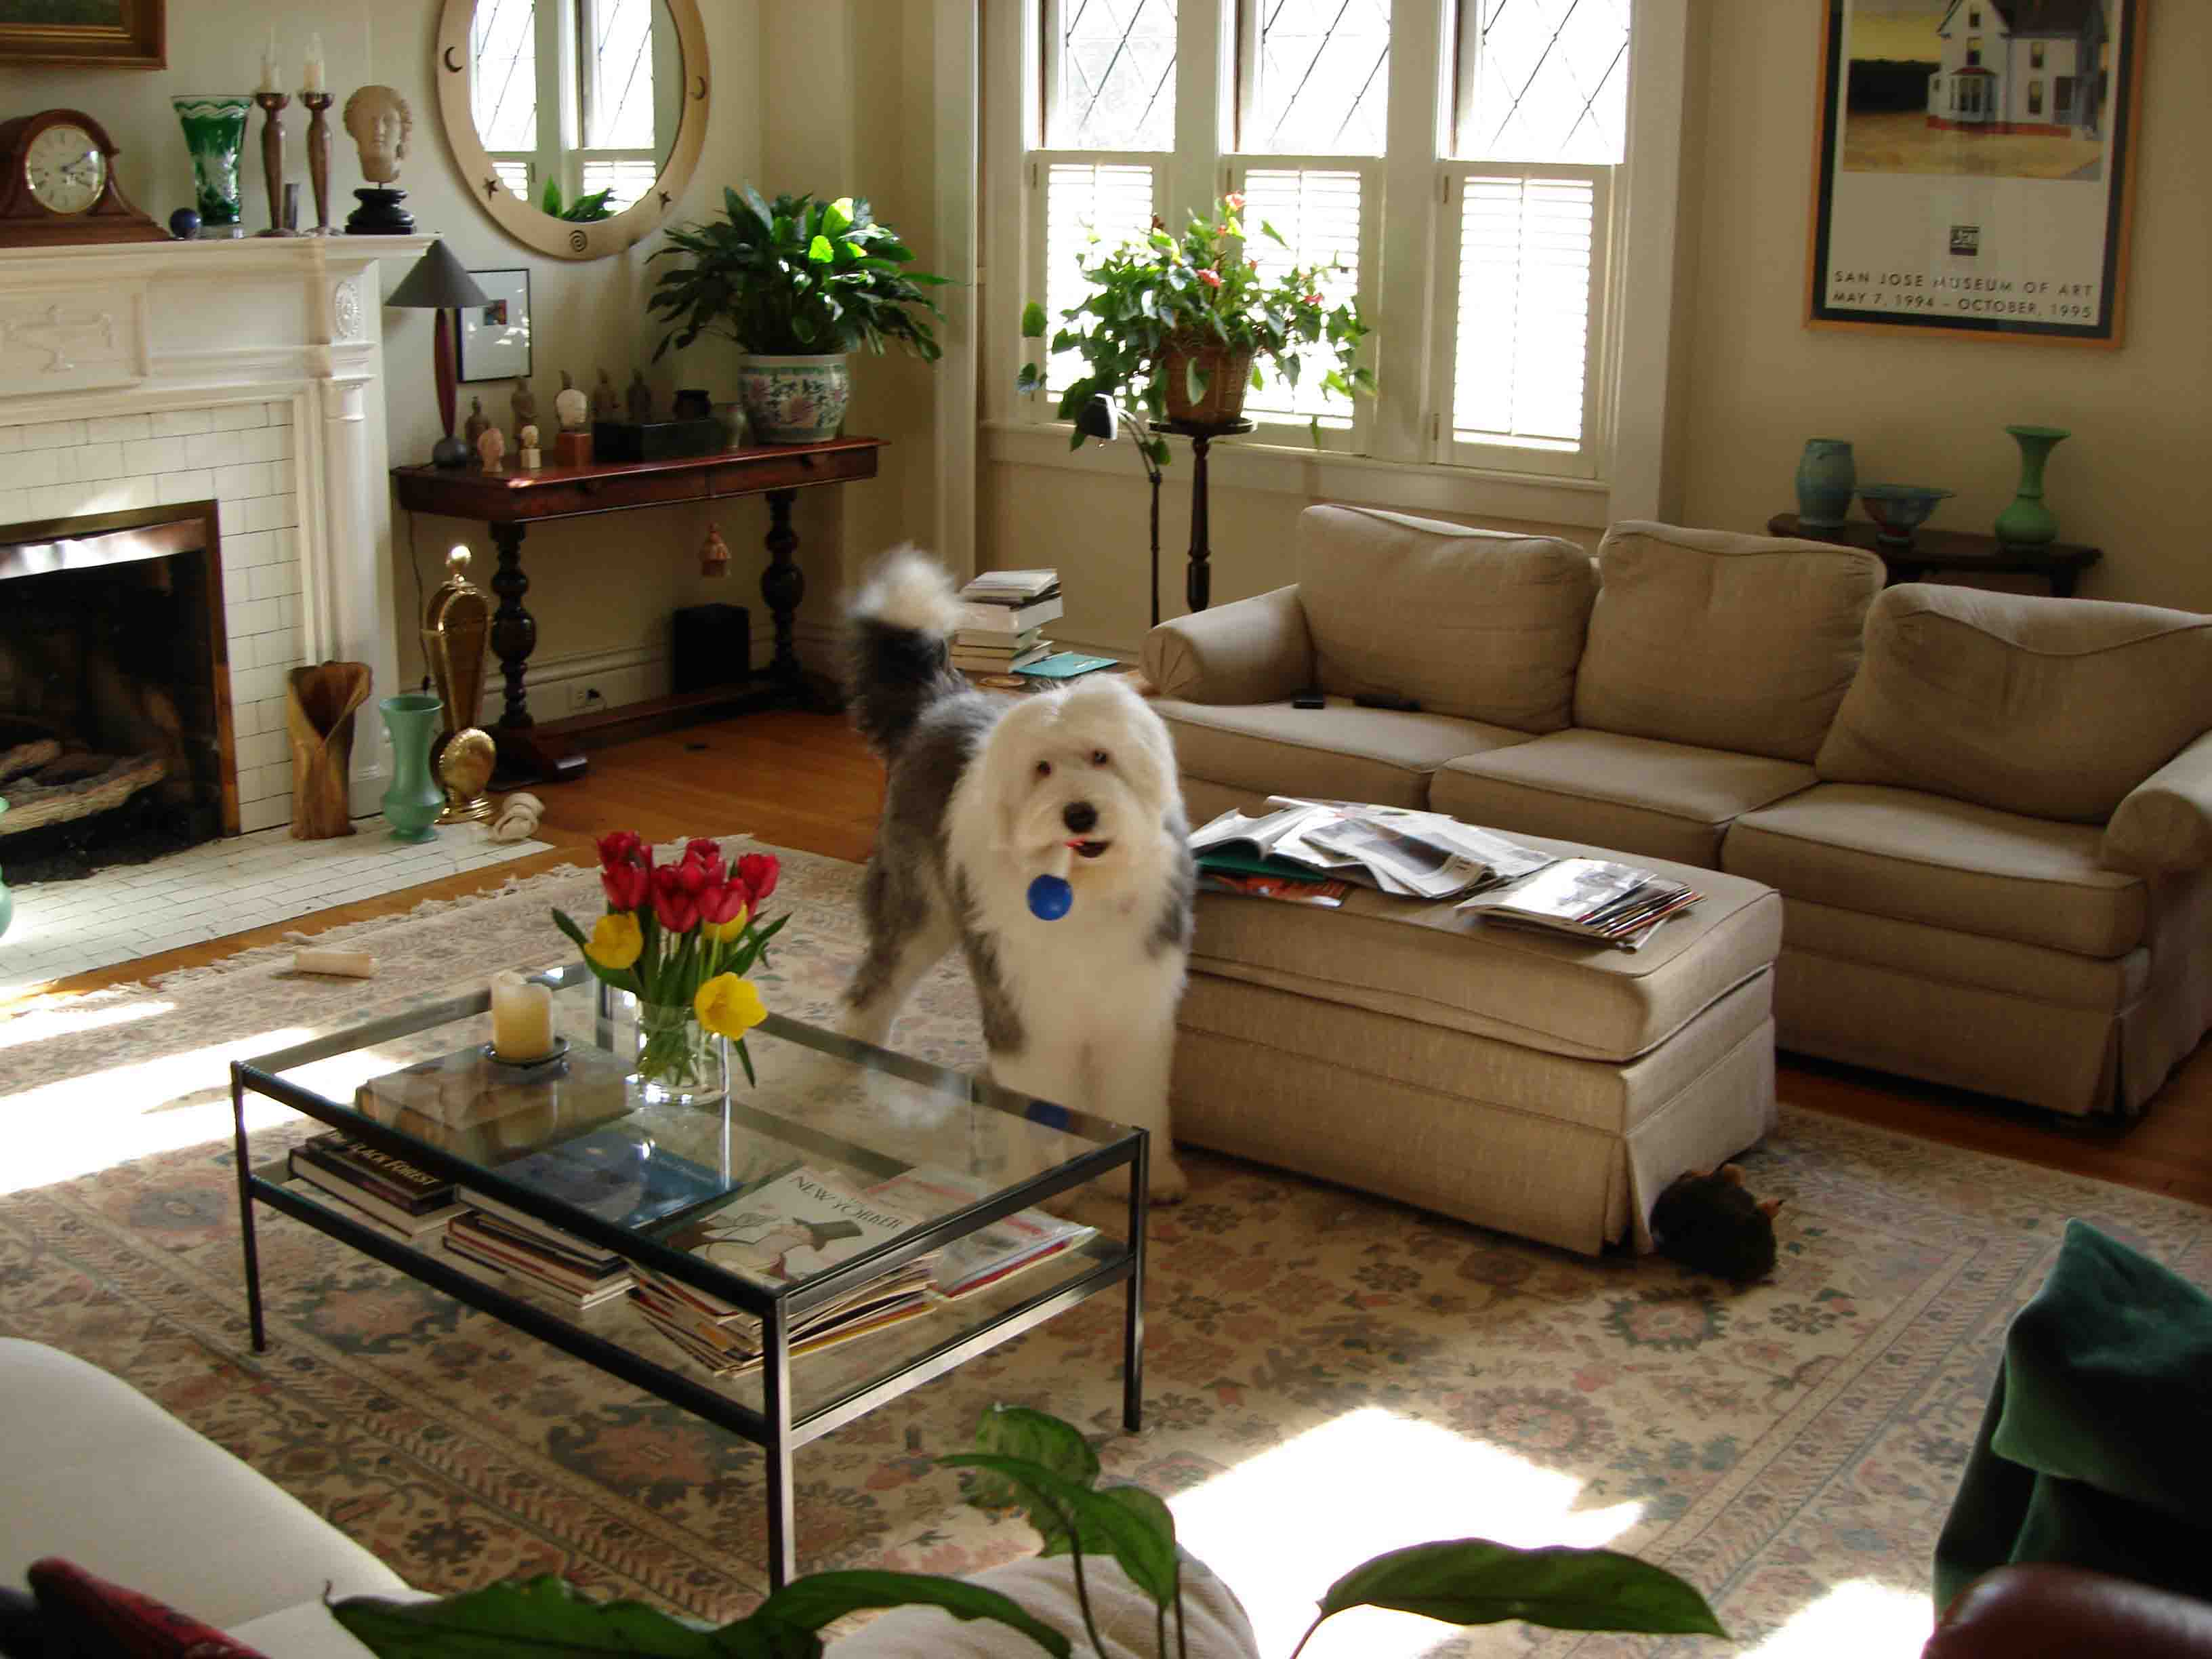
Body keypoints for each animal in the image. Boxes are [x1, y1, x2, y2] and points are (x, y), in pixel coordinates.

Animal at [838, 547, 1194, 1202]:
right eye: (1043, 768)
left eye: (1102, 756)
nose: (1079, 813)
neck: (1083, 891)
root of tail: (943, 701)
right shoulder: (1027, 1004)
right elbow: (1037, 1097)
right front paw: (1045, 1178)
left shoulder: (1134, 1007)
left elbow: (1134, 1096)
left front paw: (1149, 1179)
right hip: (920, 903)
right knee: (877, 977)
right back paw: (853, 1045)